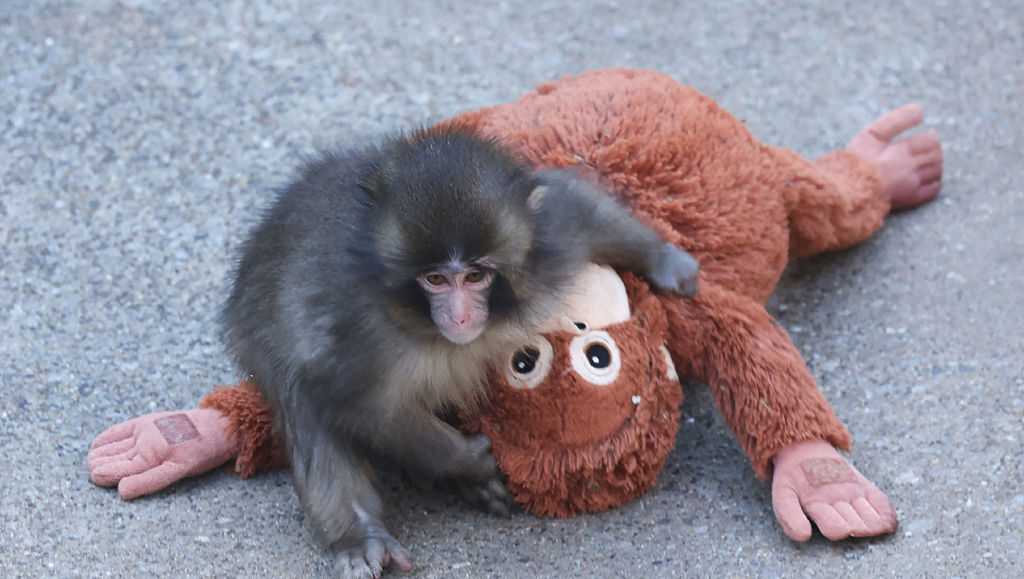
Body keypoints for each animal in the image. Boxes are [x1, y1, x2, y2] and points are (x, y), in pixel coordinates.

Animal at [220, 126, 699, 579]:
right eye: (435, 280)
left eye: (474, 276)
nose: (461, 316)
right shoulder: (356, 332)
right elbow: (357, 403)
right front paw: (467, 460)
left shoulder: (546, 245)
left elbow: (575, 206)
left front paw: (665, 260)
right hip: (255, 336)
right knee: (301, 397)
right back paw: (359, 533)